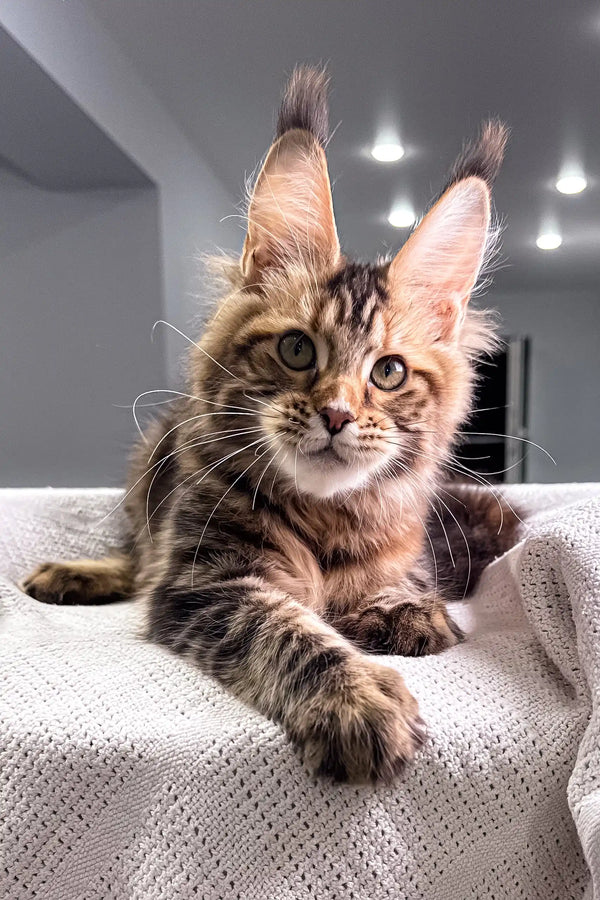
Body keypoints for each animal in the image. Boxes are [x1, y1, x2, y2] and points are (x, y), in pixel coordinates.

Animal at [25, 68, 516, 780]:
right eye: (297, 350)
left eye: (389, 372)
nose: (337, 414)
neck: (327, 518)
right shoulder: (205, 582)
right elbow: (286, 631)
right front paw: (357, 699)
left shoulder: (408, 548)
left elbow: (412, 588)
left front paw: (402, 612)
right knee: (137, 559)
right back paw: (74, 574)